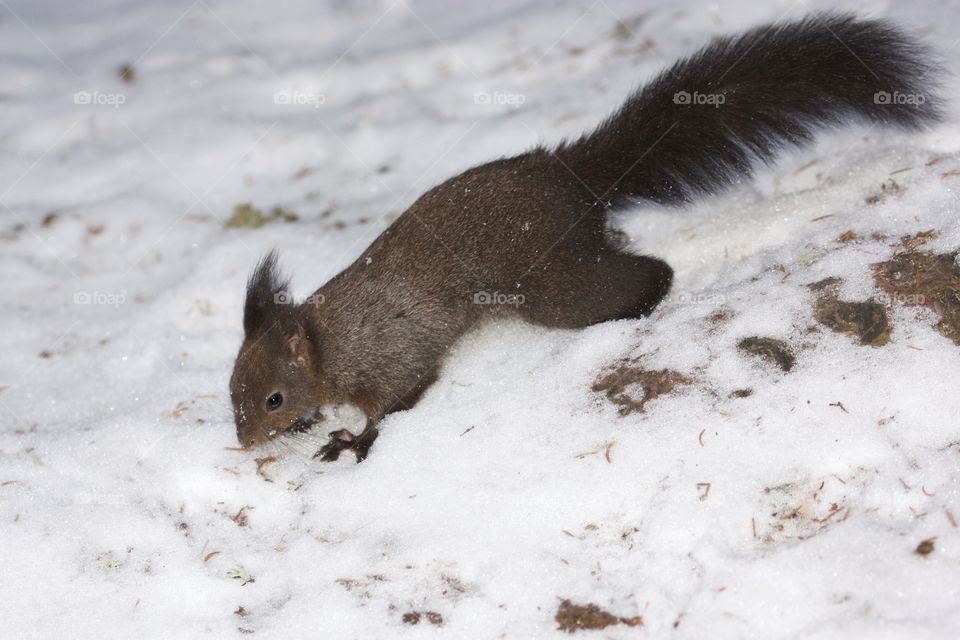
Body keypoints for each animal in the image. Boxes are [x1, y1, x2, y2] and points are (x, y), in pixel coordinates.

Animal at [231, 13, 936, 460]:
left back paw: (643, 305)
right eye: (231, 393)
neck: (327, 340)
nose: (242, 444)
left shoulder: (393, 353)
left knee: (642, 275)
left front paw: (355, 440)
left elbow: (397, 402)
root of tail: (573, 177)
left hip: (556, 284)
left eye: (271, 398)